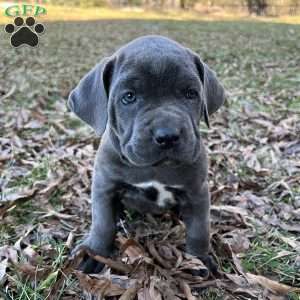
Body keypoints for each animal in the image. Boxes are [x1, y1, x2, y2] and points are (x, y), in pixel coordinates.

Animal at [68, 35, 225, 274]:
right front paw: (95, 253)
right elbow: (102, 224)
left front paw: (199, 259)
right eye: (128, 97)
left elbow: (199, 229)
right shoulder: (104, 187)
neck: (155, 169)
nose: (168, 135)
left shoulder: (197, 192)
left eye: (191, 93)